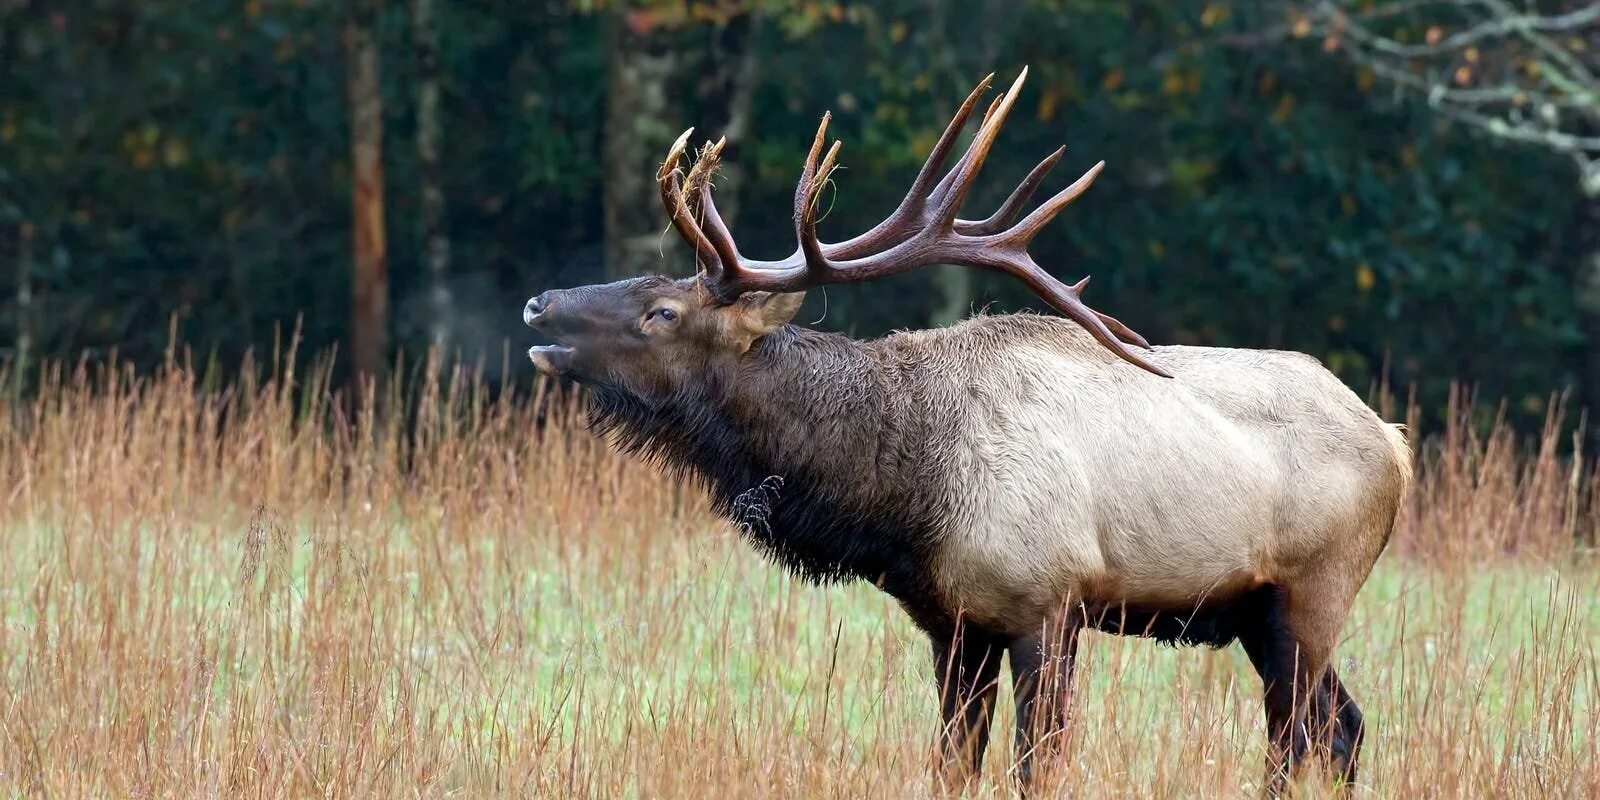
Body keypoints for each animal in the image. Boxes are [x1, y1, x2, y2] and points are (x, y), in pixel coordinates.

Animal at [518, 68, 1408, 793]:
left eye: (663, 311)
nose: (538, 303)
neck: (901, 500)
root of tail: (1396, 444)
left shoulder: (1049, 600)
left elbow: (1038, 767)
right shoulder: (953, 624)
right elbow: (952, 766)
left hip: (1314, 591)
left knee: (1297, 741)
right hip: (1259, 613)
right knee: (1346, 729)